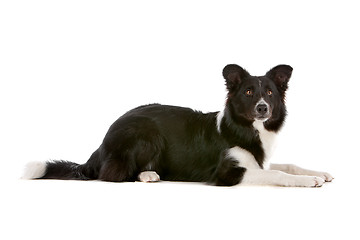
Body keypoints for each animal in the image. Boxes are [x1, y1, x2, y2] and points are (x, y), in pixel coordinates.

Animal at [22, 64, 334, 188]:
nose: (262, 108)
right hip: (146, 133)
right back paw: (148, 175)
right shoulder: (227, 172)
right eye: (248, 92)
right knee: (112, 174)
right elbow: (278, 173)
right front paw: (307, 181)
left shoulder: (259, 160)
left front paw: (319, 172)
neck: (246, 128)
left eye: (269, 92)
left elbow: (288, 164)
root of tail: (101, 144)